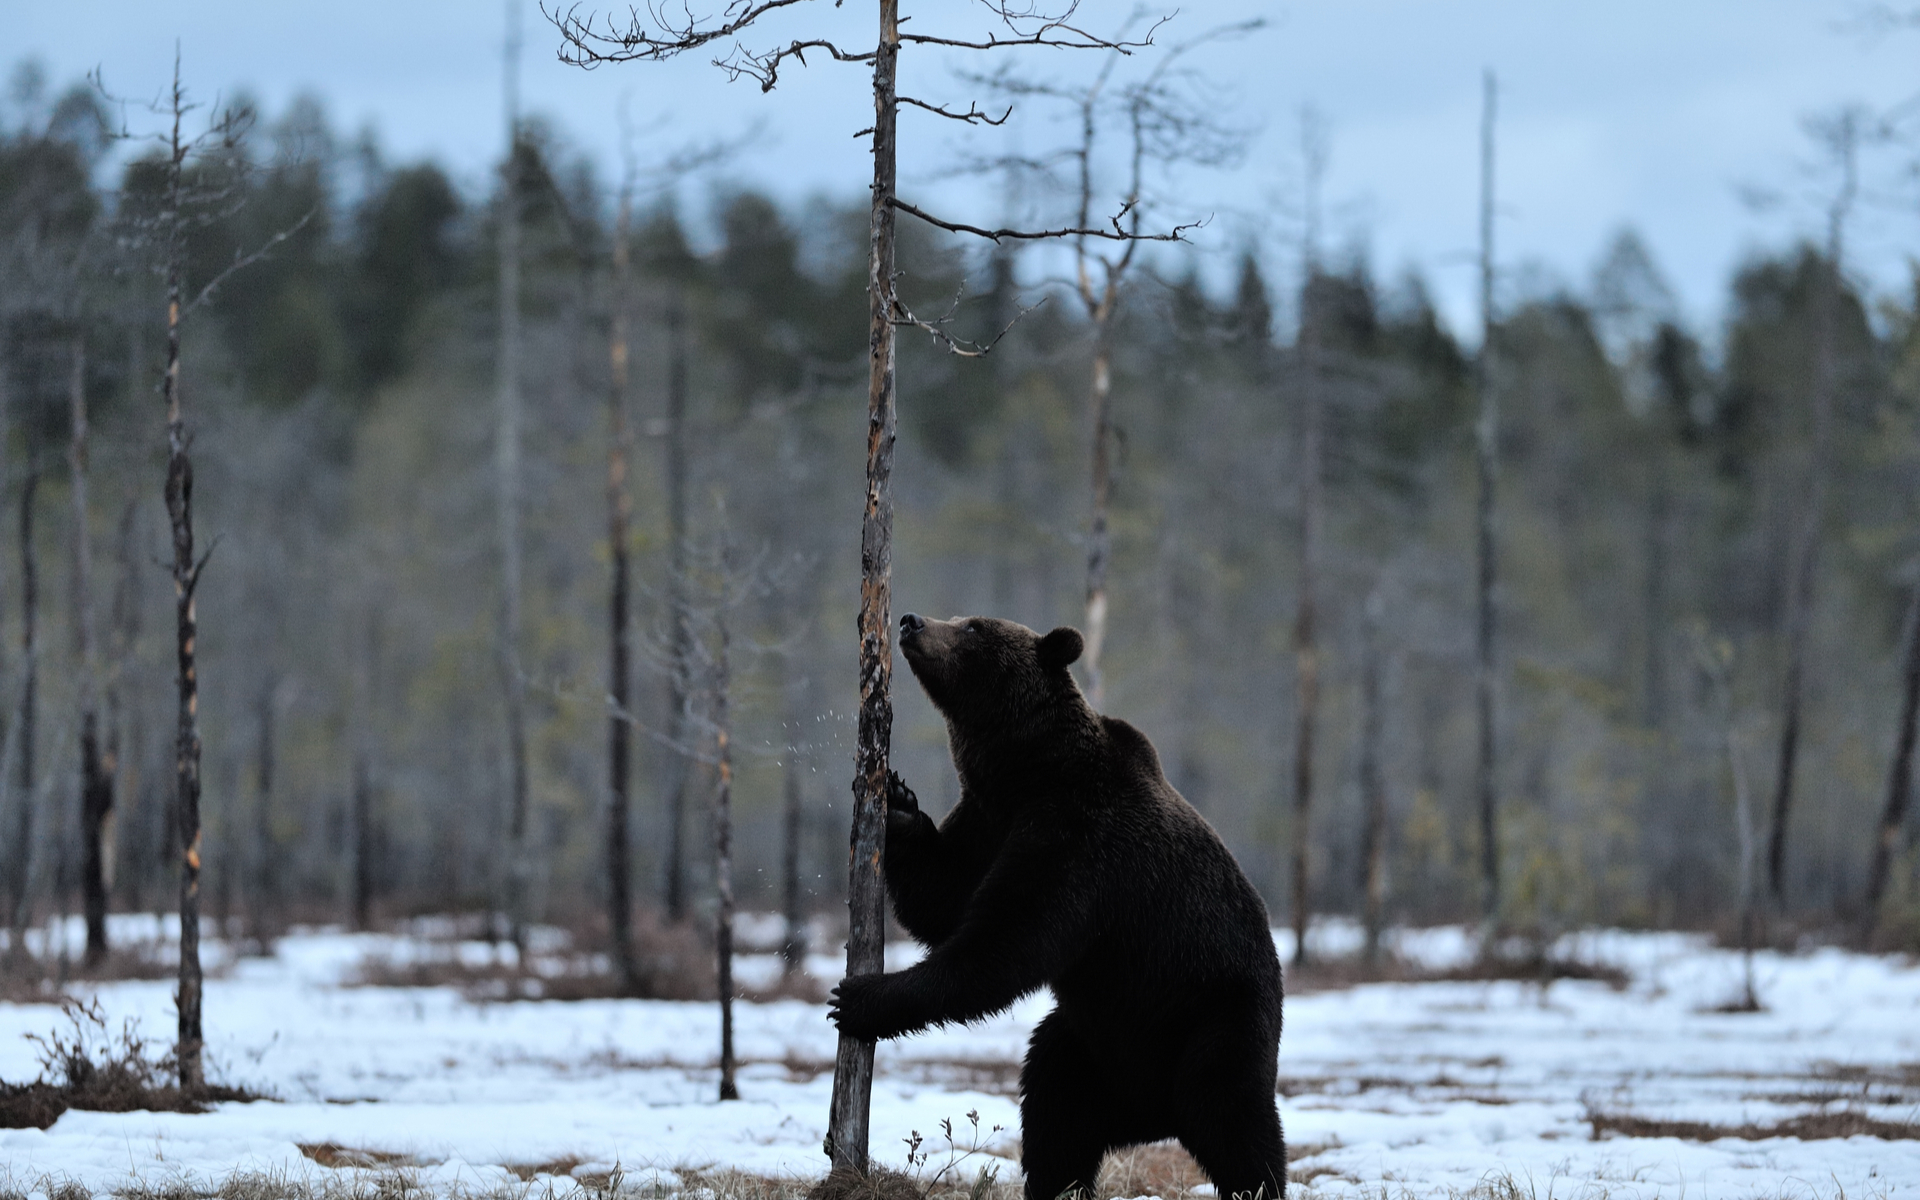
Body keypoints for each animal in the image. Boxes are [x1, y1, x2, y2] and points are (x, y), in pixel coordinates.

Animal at [829, 614, 1290, 1198]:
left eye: (973, 627)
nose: (912, 622)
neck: (1029, 772)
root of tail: (1152, 1118)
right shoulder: (991, 821)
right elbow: (945, 900)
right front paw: (895, 800)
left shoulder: (1081, 843)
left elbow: (1003, 944)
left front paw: (859, 998)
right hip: (1090, 1046)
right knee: (1055, 1112)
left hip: (1212, 1018)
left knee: (1233, 1121)